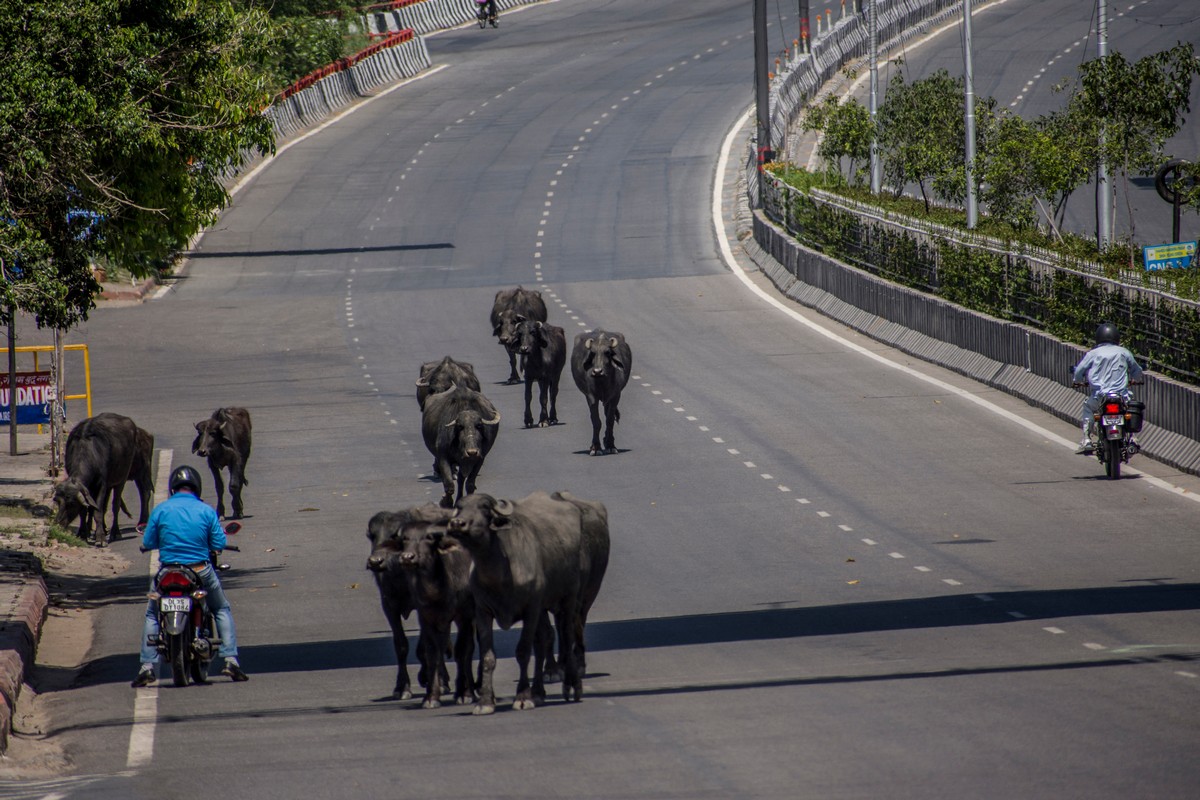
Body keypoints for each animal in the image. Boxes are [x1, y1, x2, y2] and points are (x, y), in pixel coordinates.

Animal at [54, 412, 149, 544]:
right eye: (58, 501)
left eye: (71, 503)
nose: (58, 523)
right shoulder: (88, 488)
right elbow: (85, 510)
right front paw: (83, 533)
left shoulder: (101, 485)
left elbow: (98, 511)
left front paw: (100, 537)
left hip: (121, 479)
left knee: (115, 505)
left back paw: (115, 532)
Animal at [360, 506, 451, 700]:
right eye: (372, 536)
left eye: (395, 535)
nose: (375, 561)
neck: (399, 578)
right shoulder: (388, 606)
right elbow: (401, 645)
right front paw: (401, 687)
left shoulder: (424, 607)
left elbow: (425, 645)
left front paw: (429, 678)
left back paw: (442, 679)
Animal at [446, 491, 595, 714]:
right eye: (460, 507)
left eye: (484, 508)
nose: (458, 523)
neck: (500, 574)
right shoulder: (483, 611)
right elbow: (488, 656)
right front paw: (485, 701)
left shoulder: (530, 609)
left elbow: (523, 651)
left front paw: (523, 697)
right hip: (542, 610)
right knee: (543, 640)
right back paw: (539, 692)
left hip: (568, 597)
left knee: (567, 636)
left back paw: (572, 686)